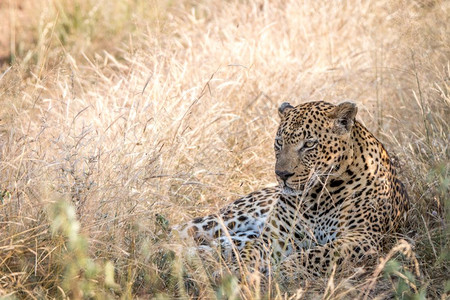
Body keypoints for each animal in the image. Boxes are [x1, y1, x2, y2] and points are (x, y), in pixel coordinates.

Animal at [171, 101, 408, 282]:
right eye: (279, 142)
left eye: (309, 144)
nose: (282, 174)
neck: (317, 197)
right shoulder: (276, 236)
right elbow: (251, 253)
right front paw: (238, 272)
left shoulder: (362, 238)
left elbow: (316, 255)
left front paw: (283, 270)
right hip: (224, 220)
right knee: (178, 231)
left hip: (231, 238)